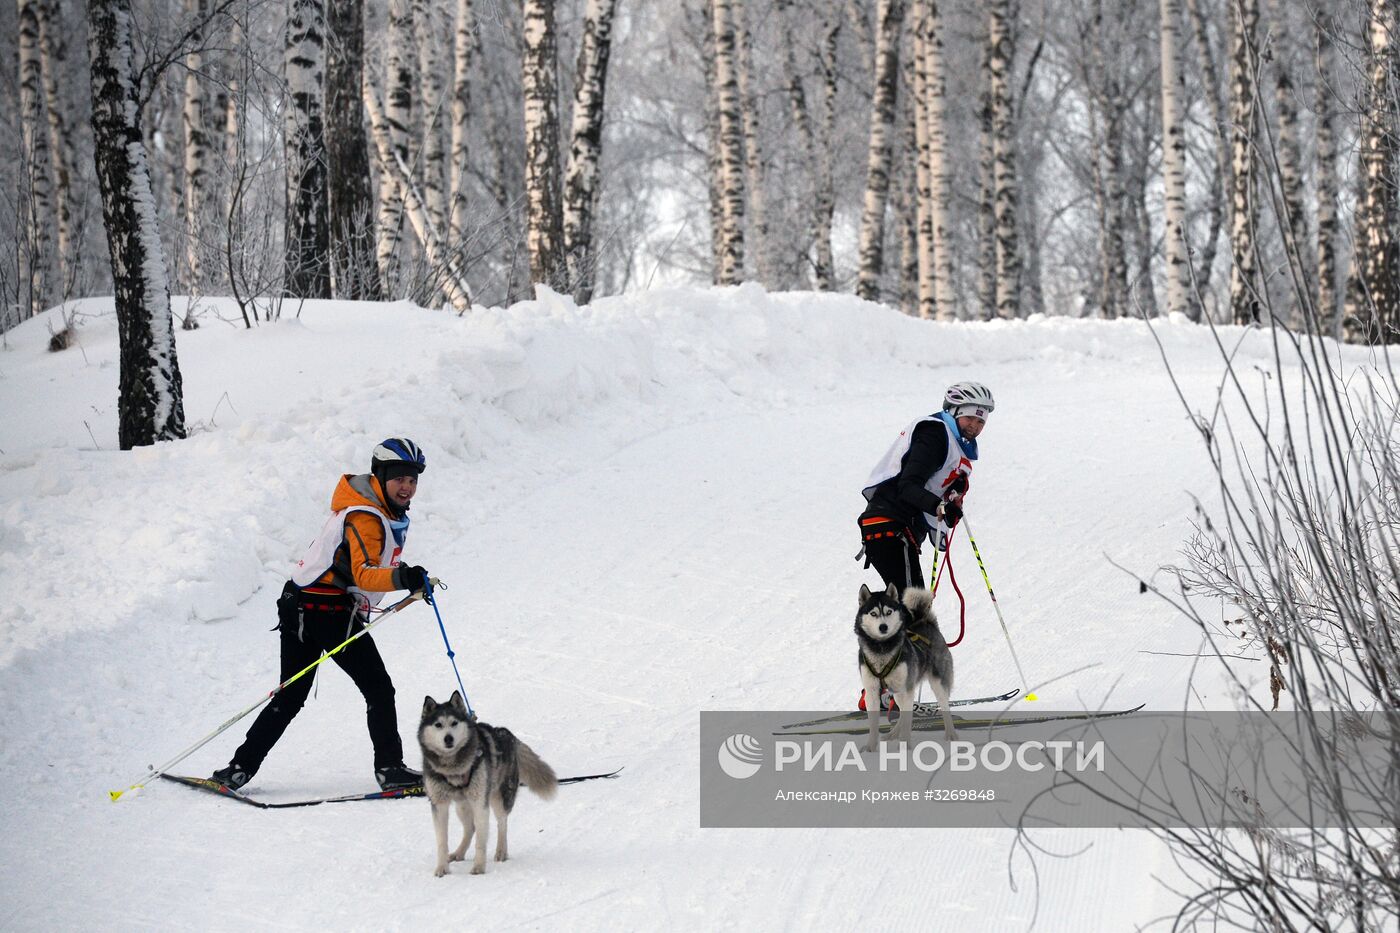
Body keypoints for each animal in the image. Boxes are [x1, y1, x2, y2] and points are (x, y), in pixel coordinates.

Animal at [417, 689, 560, 874]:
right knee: (470, 828)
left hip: (498, 797)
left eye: (454, 723)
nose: (448, 738)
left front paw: (478, 866)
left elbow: (481, 840)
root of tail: (508, 734)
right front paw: (442, 868)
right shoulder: (439, 804)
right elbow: (442, 842)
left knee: (502, 823)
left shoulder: (480, 802)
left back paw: (501, 852)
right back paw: (459, 852)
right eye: (438, 725)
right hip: (462, 805)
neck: (453, 768)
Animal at [845, 582, 957, 750]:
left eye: (888, 611)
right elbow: (874, 724)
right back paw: (893, 733)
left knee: (944, 707)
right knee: (902, 713)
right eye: (873, 613)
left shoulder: (907, 689)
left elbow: (907, 719)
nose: (883, 627)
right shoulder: (872, 691)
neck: (882, 649)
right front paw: (871, 747)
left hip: (937, 683)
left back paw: (951, 734)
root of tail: (925, 622)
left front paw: (905, 746)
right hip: (897, 693)